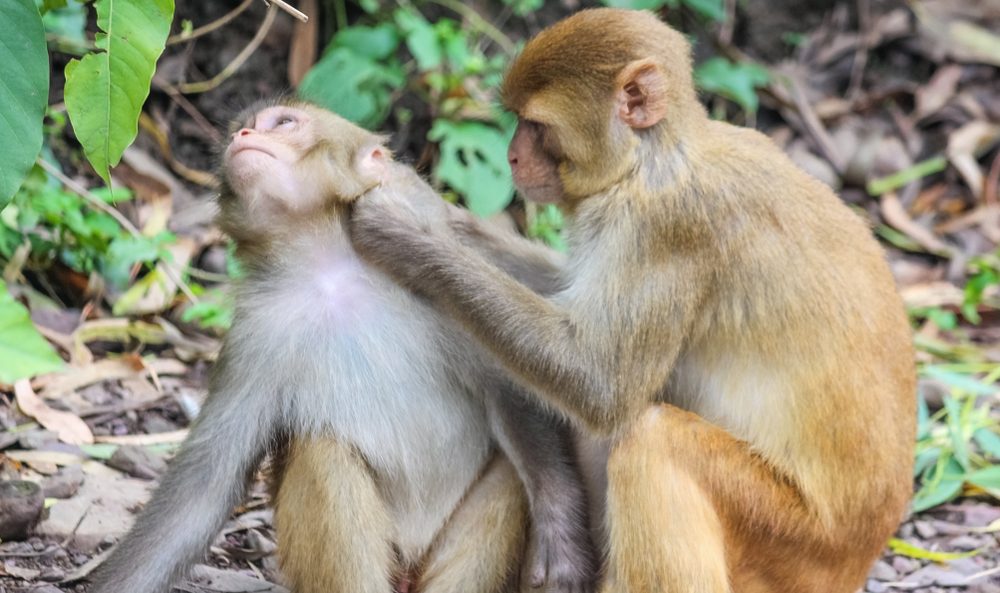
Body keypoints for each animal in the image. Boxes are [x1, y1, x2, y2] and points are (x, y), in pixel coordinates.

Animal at [88, 100, 592, 592]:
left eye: (283, 123)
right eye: (242, 128)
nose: (243, 137)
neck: (329, 270)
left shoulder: (444, 295)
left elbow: (512, 394)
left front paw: (561, 531)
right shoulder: (253, 336)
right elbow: (204, 489)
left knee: (508, 472)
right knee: (324, 451)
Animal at [348, 8, 916, 592]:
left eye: (536, 125)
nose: (511, 156)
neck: (652, 158)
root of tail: (861, 554)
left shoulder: (665, 226)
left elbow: (603, 385)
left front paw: (408, 239)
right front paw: (435, 212)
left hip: (789, 544)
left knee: (651, 438)